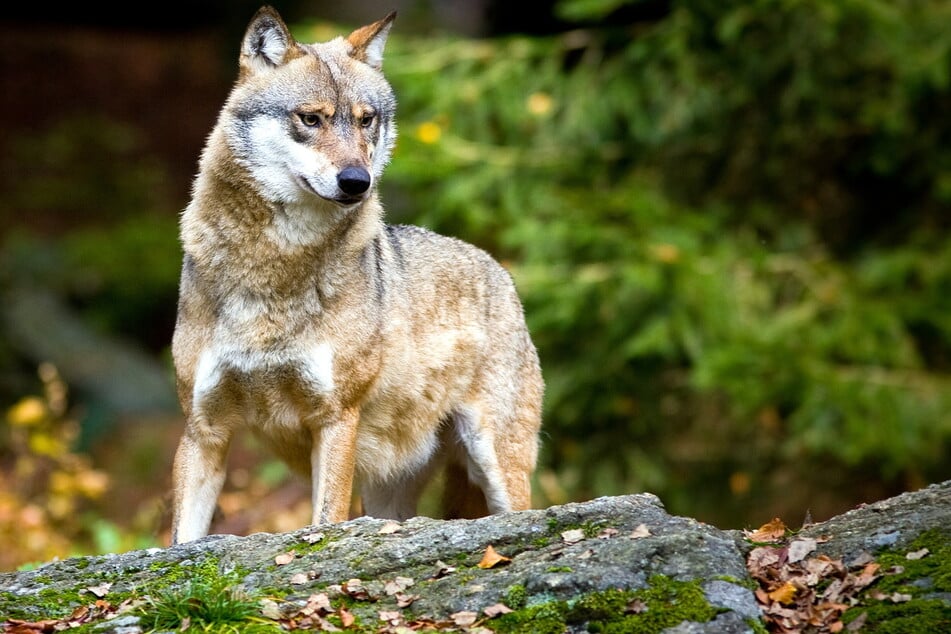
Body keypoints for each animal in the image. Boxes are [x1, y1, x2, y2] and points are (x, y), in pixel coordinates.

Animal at [169, 4, 544, 540]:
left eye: (367, 121)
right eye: (311, 118)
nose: (356, 181)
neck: (273, 267)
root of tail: (499, 270)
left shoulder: (335, 418)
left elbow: (325, 520)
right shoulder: (204, 429)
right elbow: (181, 539)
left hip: (496, 466)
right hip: (389, 495)